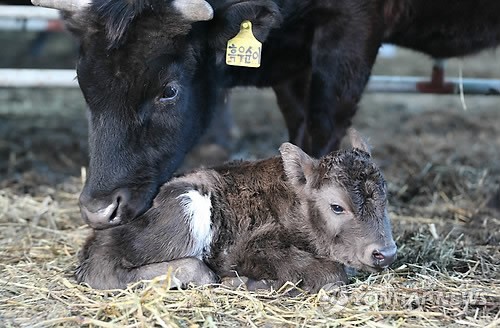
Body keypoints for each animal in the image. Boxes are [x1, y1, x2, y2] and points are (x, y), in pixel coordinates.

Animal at [32, 0, 500, 231]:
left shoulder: (350, 32)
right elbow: (297, 133)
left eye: (169, 89)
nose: (98, 211)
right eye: (81, 82)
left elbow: (321, 129)